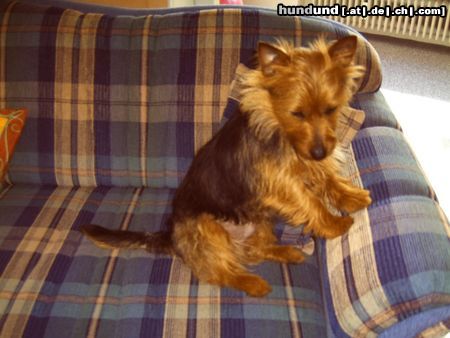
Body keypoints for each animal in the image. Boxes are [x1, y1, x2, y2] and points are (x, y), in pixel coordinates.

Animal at [81, 35, 372, 298]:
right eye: (297, 113)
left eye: (331, 109)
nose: (320, 152)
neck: (283, 133)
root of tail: (170, 236)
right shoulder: (280, 181)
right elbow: (310, 200)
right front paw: (334, 224)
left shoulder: (306, 160)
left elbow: (326, 176)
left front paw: (351, 196)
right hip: (209, 229)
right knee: (220, 272)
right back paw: (253, 283)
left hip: (260, 219)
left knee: (254, 251)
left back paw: (287, 252)